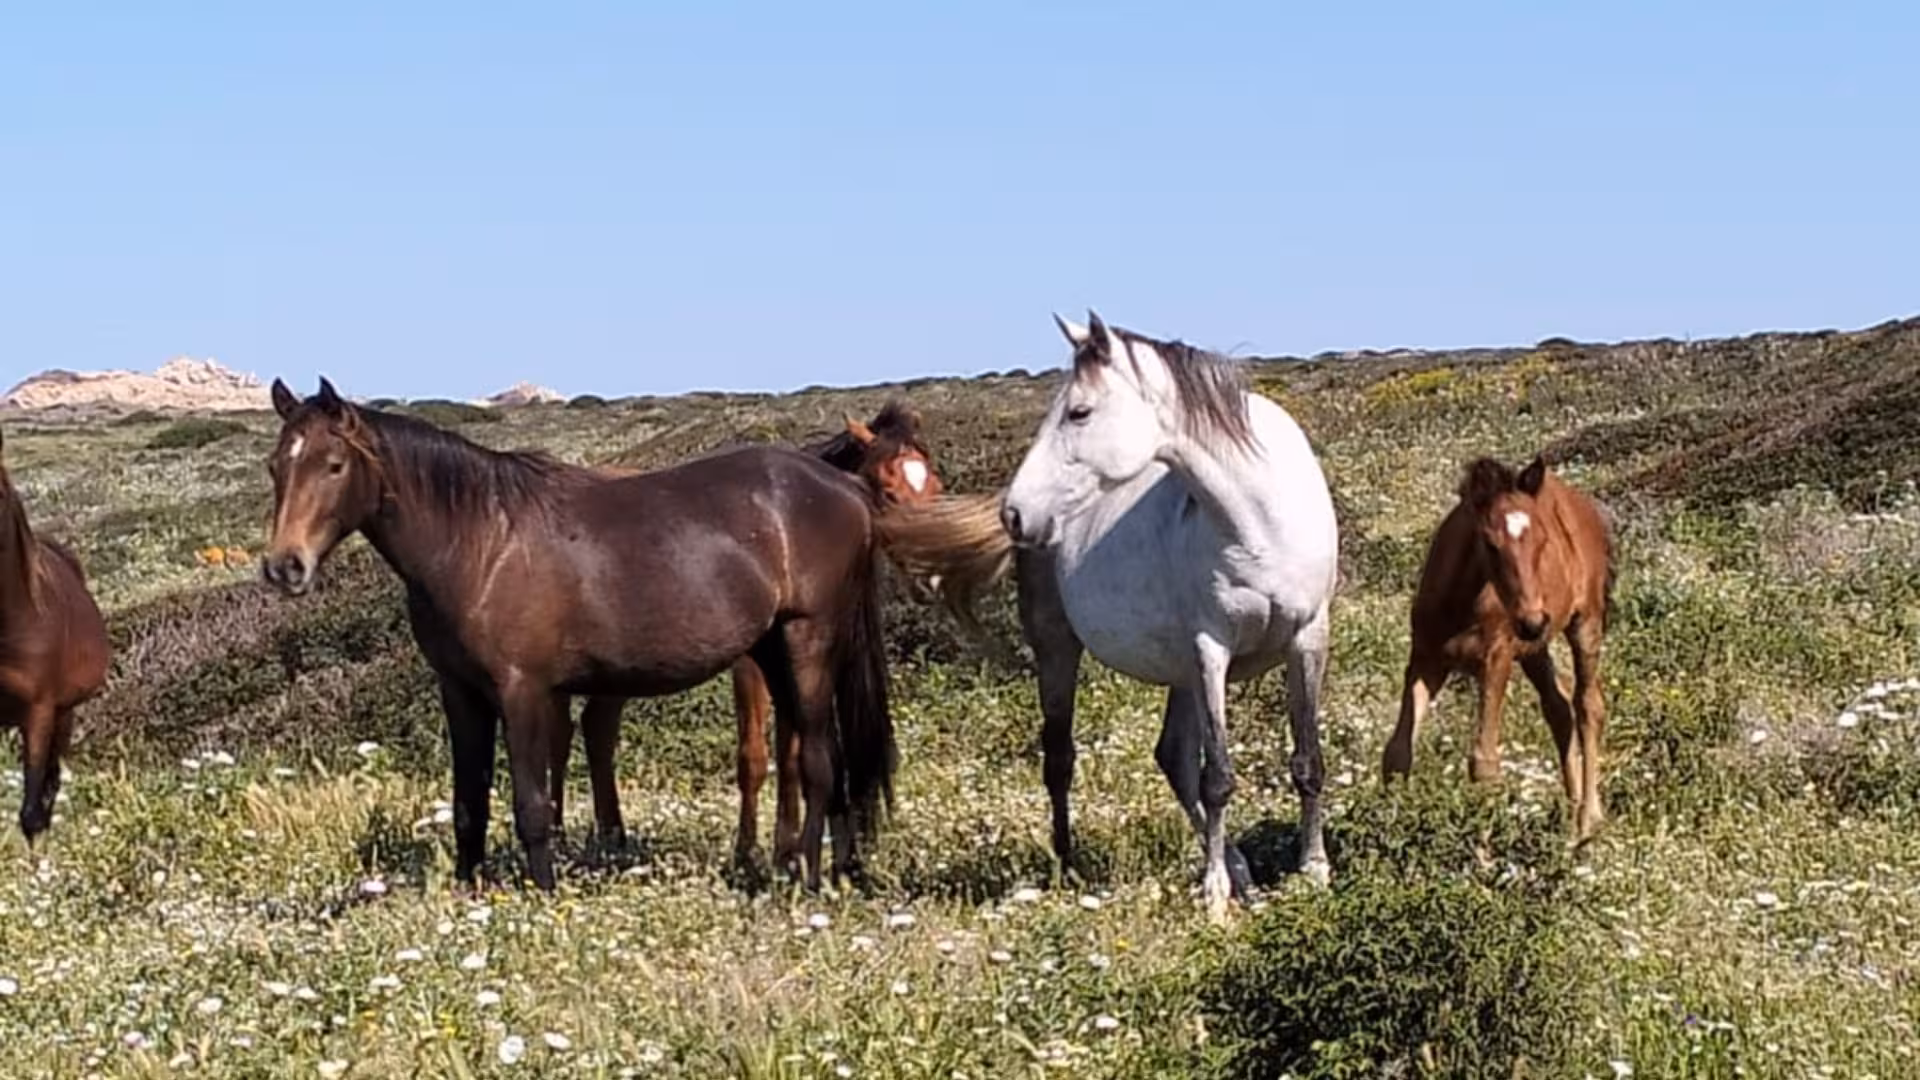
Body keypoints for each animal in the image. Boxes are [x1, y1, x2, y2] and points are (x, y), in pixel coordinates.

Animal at [260, 379, 896, 891]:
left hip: (807, 642)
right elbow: (469, 803)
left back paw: (807, 878)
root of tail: (844, 487)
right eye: (276, 465)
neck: (481, 541)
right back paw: (835, 870)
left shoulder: (521, 690)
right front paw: (468, 895)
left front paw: (543, 893)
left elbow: (531, 805)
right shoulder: (460, 693)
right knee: (833, 761)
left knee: (817, 761)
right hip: (774, 652)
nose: (284, 567)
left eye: (334, 465)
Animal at [551, 401, 943, 879]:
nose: (932, 578)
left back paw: (607, 838)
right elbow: (755, 756)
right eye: (887, 490)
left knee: (591, 729)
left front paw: (785, 849)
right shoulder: (750, 666)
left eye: (936, 486)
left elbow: (791, 753)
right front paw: (749, 852)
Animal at [877, 312, 1341, 922]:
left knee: (1172, 757)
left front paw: (1313, 872)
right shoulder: (1211, 648)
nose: (1015, 513)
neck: (1258, 518)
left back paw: (1240, 872)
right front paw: (1216, 896)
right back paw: (1071, 867)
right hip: (1062, 649)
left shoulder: (1307, 637)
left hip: (1181, 671)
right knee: (1061, 758)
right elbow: (1218, 777)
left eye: (1079, 411)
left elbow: (1307, 760)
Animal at [1380, 454, 1614, 840]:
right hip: (1534, 649)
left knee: (1588, 705)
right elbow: (1397, 751)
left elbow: (1484, 761)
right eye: (1490, 544)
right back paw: (1569, 815)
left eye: (1543, 540)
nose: (1533, 620)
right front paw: (1386, 830)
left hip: (1585, 621)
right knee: (1559, 707)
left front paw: (1483, 846)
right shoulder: (1426, 661)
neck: (1459, 603)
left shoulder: (1496, 659)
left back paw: (1587, 820)